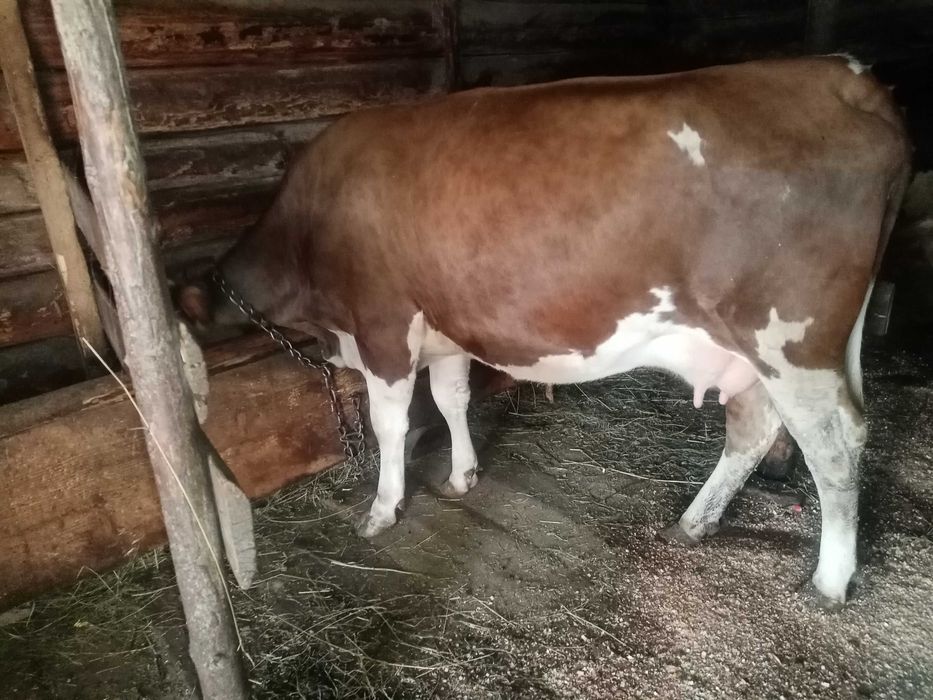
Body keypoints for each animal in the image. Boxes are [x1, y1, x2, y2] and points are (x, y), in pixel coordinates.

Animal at [178, 56, 911, 605]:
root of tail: (841, 75)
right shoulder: (447, 327)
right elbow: (451, 399)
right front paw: (463, 475)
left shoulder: (383, 323)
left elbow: (391, 423)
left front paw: (383, 507)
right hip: (756, 348)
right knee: (756, 427)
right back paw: (693, 523)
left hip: (789, 340)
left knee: (834, 442)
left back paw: (829, 580)